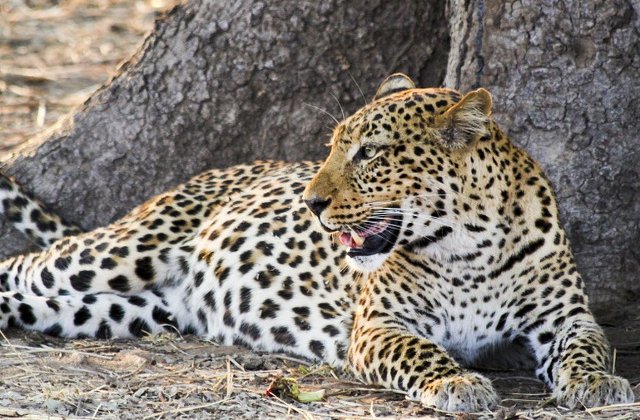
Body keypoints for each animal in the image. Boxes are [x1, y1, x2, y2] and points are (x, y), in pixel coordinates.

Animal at [0, 74, 634, 413]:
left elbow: (589, 346)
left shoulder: (566, 317)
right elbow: (423, 352)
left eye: (369, 153)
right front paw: (457, 382)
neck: (468, 247)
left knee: (38, 303)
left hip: (124, 310)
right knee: (23, 263)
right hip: (113, 256)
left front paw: (597, 383)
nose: (310, 202)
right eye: (332, 146)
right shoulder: (379, 326)